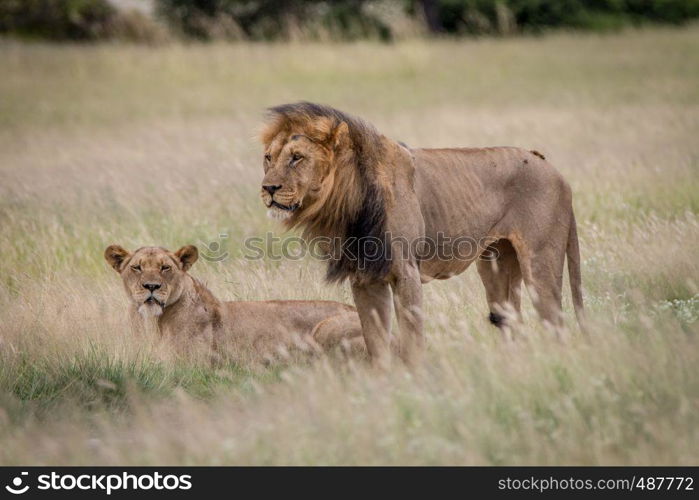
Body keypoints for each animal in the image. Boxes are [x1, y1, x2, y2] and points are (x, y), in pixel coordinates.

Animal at [260, 101, 584, 368]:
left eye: (297, 158)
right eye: (268, 158)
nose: (268, 188)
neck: (348, 199)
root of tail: (552, 168)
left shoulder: (405, 271)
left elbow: (411, 338)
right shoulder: (364, 278)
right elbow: (376, 340)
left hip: (540, 263)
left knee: (554, 319)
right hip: (496, 263)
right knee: (509, 319)